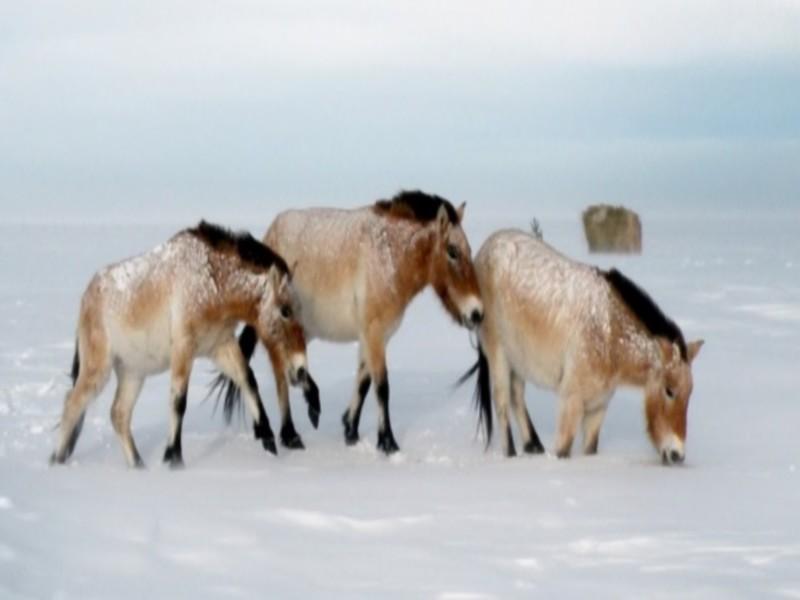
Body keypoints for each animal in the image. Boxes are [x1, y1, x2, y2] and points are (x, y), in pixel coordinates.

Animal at [48, 220, 318, 468]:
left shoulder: (221, 345)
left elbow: (247, 380)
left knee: (118, 415)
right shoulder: (184, 348)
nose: (300, 369)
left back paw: (138, 466)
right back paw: (56, 462)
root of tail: (88, 297)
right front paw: (173, 457)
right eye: (285, 311)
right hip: (98, 369)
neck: (212, 282)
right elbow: (179, 401)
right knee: (72, 404)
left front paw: (267, 438)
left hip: (133, 373)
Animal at [212, 190, 484, 452]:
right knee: (281, 375)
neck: (389, 257)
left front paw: (350, 430)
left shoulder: (374, 335)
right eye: (452, 251)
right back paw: (291, 433)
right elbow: (382, 387)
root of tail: (270, 234)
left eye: (469, 251)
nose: (477, 313)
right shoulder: (374, 334)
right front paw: (388, 443)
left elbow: (364, 381)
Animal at [460, 230, 704, 464]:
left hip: (519, 360)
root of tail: (487, 247)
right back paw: (511, 454)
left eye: (690, 393)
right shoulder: (571, 401)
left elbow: (590, 450)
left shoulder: (598, 407)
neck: (609, 332)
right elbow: (563, 451)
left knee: (516, 396)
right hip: (498, 354)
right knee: (502, 401)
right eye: (669, 391)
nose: (677, 454)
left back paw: (533, 445)